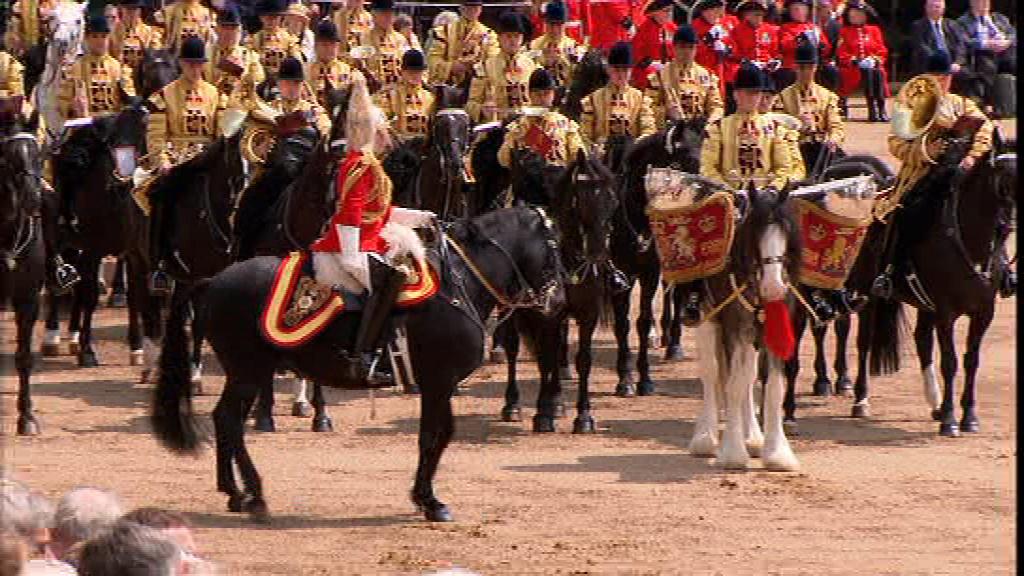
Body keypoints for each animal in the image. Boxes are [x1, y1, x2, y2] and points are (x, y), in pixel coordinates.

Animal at [151, 204, 569, 520]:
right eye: (554, 246)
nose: (559, 301)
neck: (460, 285)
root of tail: (213, 281)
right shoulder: (438, 381)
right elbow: (433, 436)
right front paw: (430, 501)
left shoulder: (439, 384)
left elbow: (437, 435)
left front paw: (422, 497)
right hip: (249, 371)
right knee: (230, 421)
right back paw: (254, 494)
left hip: (244, 372)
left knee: (224, 419)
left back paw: (234, 493)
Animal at [501, 147, 618, 430]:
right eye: (582, 198)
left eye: (612, 199)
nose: (598, 252)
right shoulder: (548, 316)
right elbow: (546, 357)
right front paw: (542, 414)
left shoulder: (587, 315)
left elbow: (582, 360)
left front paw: (583, 416)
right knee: (513, 347)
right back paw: (513, 405)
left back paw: (556, 402)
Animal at [610, 116, 708, 393]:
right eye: (679, 155)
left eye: (701, 152)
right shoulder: (620, 273)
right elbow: (622, 324)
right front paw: (625, 379)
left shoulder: (650, 272)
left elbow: (642, 322)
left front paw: (644, 379)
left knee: (674, 293)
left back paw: (672, 342)